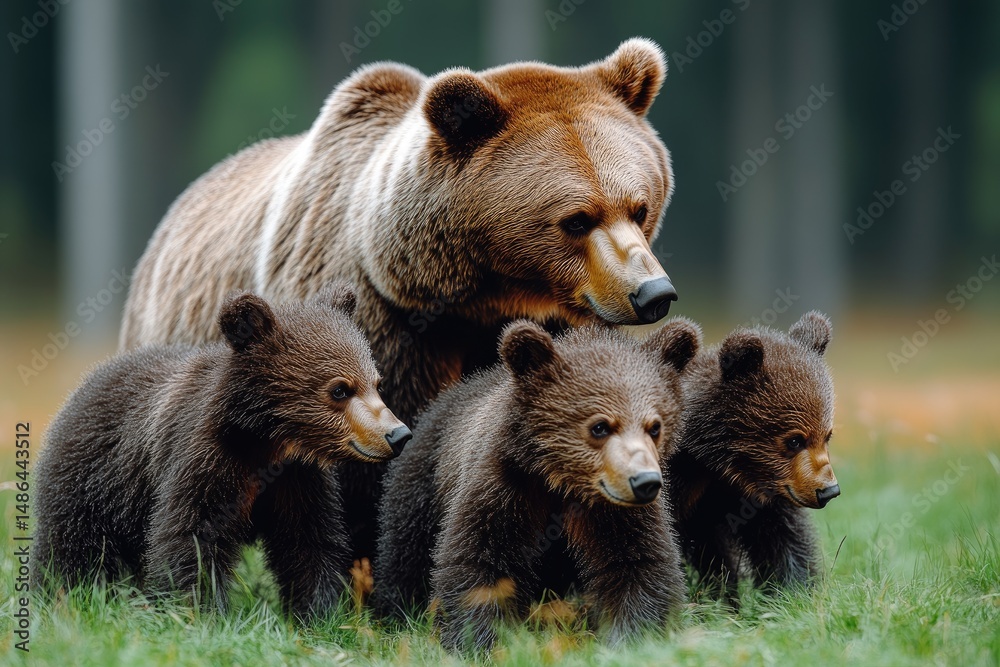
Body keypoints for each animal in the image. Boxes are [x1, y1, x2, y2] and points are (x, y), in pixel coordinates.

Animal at [33, 285, 412, 619]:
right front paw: (200, 610)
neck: (264, 441)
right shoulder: (205, 459)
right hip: (96, 480)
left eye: (376, 383)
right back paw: (60, 595)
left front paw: (319, 612)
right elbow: (192, 536)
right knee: (71, 546)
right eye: (340, 390)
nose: (398, 434)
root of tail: (87, 381)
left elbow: (308, 540)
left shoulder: (298, 478)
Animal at [373, 318, 701, 651]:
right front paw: (479, 642)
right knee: (405, 550)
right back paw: (398, 613)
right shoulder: (504, 486)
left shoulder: (616, 511)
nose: (644, 481)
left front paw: (631, 637)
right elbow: (479, 561)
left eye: (655, 426)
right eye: (600, 426)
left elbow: (638, 562)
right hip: (425, 480)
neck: (561, 481)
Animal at [666, 311, 840, 597]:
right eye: (794, 440)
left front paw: (795, 589)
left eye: (826, 436)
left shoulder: (757, 493)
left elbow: (782, 539)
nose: (828, 491)